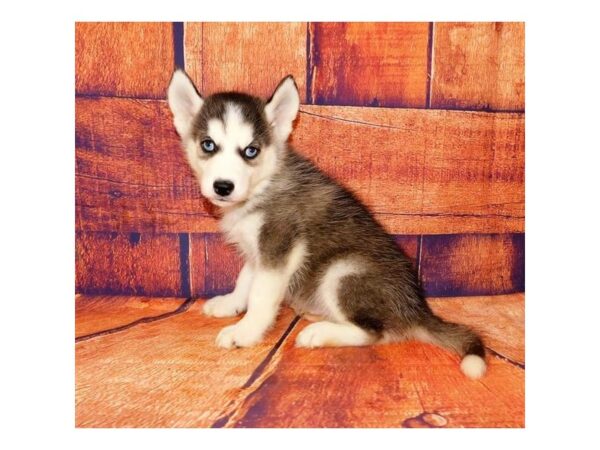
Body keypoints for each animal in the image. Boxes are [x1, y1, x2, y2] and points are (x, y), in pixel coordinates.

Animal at [166, 71, 486, 380]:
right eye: (208, 144)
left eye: (251, 151)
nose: (223, 187)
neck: (262, 187)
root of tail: (417, 311)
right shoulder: (259, 252)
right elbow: (245, 280)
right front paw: (230, 304)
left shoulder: (280, 247)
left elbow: (260, 296)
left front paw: (245, 332)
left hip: (342, 270)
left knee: (375, 332)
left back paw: (319, 333)